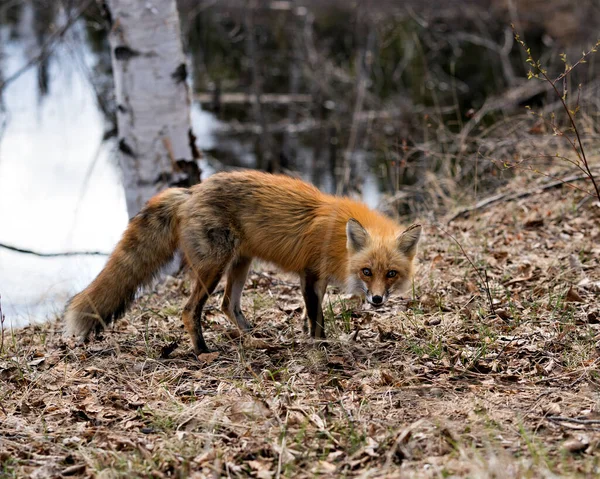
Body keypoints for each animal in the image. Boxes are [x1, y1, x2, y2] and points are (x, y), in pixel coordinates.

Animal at [64, 171, 422, 354]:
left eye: (391, 273)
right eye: (367, 271)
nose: (377, 300)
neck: (338, 241)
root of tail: (191, 191)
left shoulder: (314, 280)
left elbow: (311, 317)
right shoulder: (310, 274)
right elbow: (316, 319)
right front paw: (321, 346)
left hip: (241, 264)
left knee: (228, 306)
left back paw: (253, 339)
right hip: (214, 267)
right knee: (189, 311)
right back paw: (203, 351)